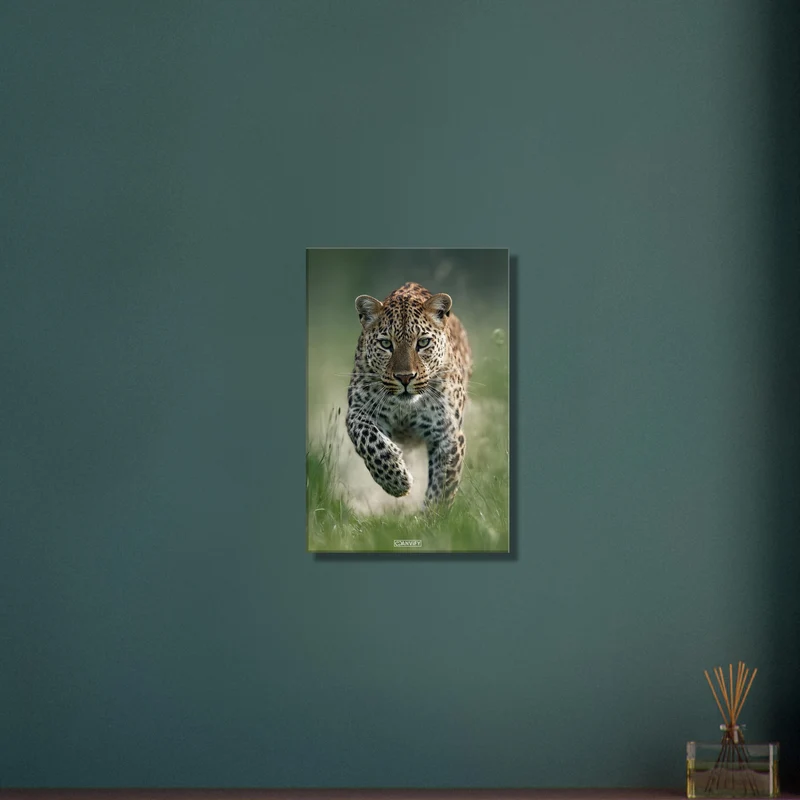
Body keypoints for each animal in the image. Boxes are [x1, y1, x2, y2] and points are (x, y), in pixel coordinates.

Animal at [346, 281, 472, 510]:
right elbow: (369, 440)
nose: (405, 377)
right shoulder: (357, 412)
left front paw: (433, 517)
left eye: (422, 343)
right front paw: (396, 481)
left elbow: (442, 486)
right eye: (386, 344)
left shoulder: (448, 434)